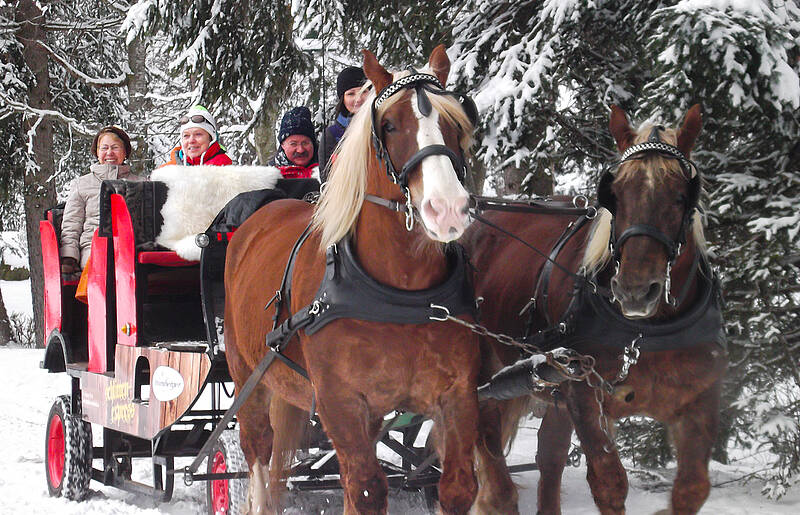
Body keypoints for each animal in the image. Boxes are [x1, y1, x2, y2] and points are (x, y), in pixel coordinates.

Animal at [223, 45, 482, 515]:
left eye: (456, 121)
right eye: (390, 125)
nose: (447, 209)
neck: (397, 293)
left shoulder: (457, 394)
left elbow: (456, 487)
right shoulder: (339, 402)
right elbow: (366, 490)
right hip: (246, 373)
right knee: (257, 453)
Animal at [466, 105, 728, 515]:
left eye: (681, 195)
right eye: (614, 193)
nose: (635, 291)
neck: (645, 332)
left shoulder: (700, 397)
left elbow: (692, 489)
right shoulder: (585, 392)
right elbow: (608, 482)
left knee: (550, 455)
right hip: (484, 369)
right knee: (490, 458)